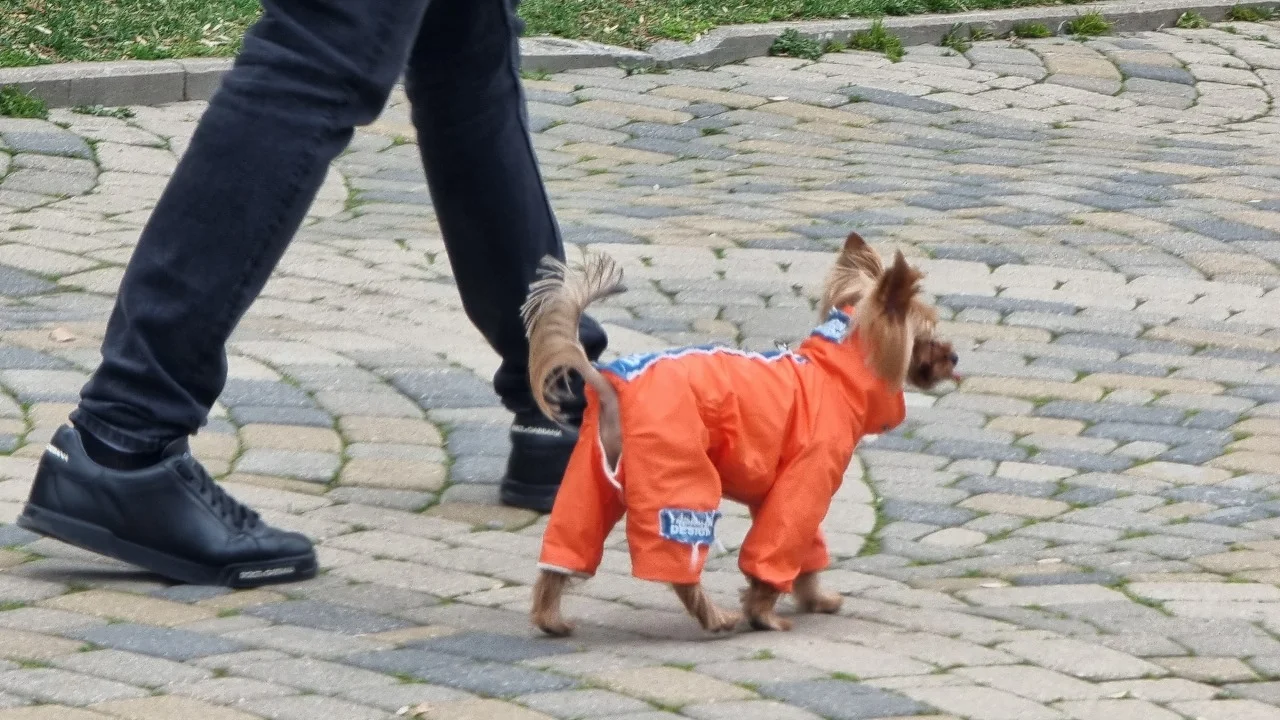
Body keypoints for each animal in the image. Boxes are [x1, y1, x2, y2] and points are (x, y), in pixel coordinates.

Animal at [524, 233, 957, 630]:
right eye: (928, 335)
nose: (954, 356)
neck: (835, 374)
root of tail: (609, 383)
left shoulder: (783, 492)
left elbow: (806, 549)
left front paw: (814, 599)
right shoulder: (806, 481)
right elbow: (777, 547)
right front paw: (763, 614)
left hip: (592, 477)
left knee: (565, 549)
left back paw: (550, 618)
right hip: (677, 477)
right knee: (679, 566)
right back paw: (716, 618)